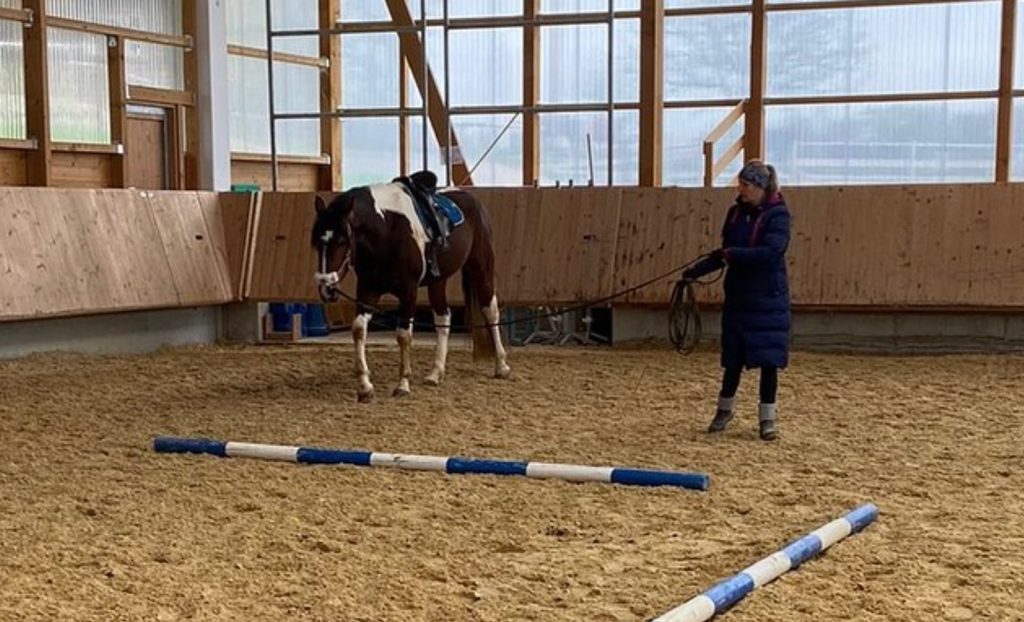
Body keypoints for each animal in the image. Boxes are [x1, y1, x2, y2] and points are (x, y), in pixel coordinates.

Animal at [307, 171, 507, 403]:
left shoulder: (408, 292)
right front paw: (365, 387)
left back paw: (501, 365)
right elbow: (358, 329)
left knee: (490, 310)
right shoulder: (368, 290)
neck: (387, 229)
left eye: (341, 241)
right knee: (443, 316)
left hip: (481, 267)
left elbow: (403, 335)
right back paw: (435, 373)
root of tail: (473, 200)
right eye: (316, 243)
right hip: (438, 281)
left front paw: (402, 384)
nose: (326, 288)